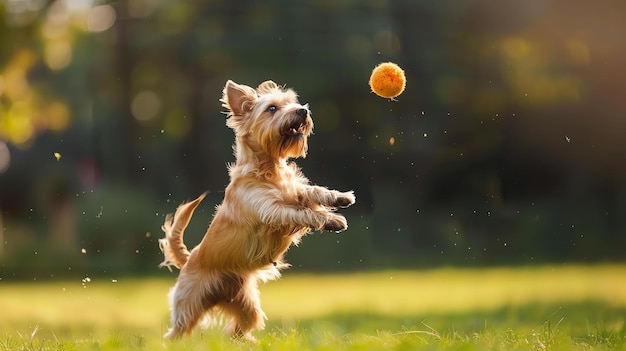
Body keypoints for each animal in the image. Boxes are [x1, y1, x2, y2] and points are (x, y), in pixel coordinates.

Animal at [158, 80, 354, 340]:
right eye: (272, 108)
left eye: (292, 102)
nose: (303, 110)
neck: (268, 169)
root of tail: (189, 259)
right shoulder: (273, 210)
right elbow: (305, 213)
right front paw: (332, 220)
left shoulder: (295, 192)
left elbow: (315, 191)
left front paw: (342, 198)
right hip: (189, 306)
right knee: (175, 334)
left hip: (246, 305)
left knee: (237, 331)